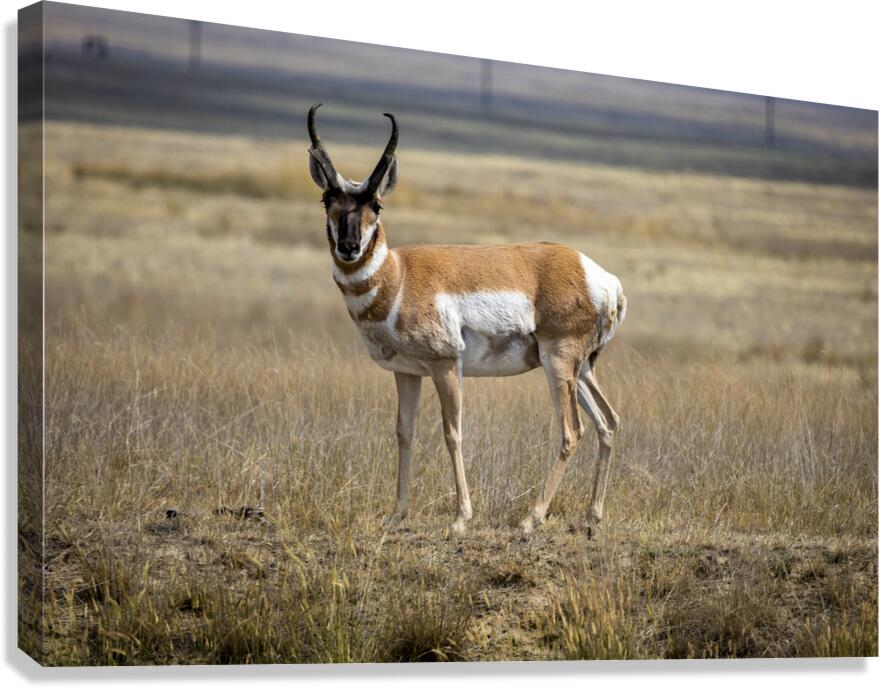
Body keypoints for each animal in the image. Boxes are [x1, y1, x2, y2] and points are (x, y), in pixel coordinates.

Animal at [307, 104, 626, 537]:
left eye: (377, 205)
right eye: (328, 200)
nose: (350, 247)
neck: (398, 276)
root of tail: (597, 274)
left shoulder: (445, 366)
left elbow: (452, 433)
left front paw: (461, 518)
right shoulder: (407, 372)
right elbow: (404, 432)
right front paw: (396, 513)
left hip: (558, 363)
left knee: (571, 431)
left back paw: (531, 518)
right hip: (582, 370)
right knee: (608, 423)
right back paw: (592, 518)